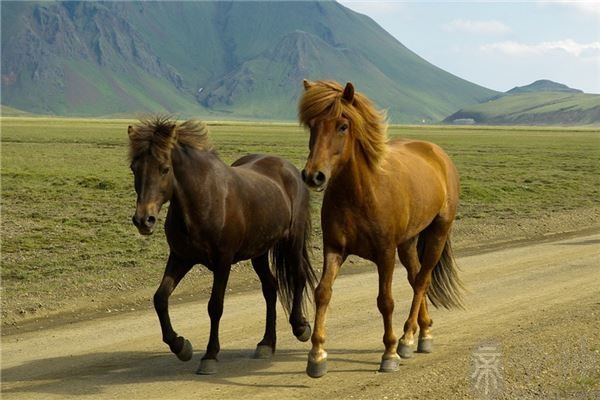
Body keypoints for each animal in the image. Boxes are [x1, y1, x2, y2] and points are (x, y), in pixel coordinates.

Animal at [125, 116, 316, 376]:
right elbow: (160, 298)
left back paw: (300, 327)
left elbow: (215, 306)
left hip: (292, 241)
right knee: (270, 288)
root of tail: (289, 168)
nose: (144, 220)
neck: (202, 200)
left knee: (297, 276)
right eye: (134, 168)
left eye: (164, 168)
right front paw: (180, 346)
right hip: (259, 251)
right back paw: (267, 343)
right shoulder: (180, 257)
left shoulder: (223, 262)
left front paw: (210, 356)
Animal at [300, 80, 464, 378]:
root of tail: (437, 153)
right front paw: (317, 354)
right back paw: (423, 333)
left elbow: (385, 300)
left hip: (438, 232)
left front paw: (389, 352)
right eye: (312, 125)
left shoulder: (385, 253)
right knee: (415, 277)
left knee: (422, 280)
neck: (360, 192)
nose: (313, 175)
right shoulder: (334, 249)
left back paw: (407, 338)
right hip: (408, 242)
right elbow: (322, 292)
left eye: (342, 126)